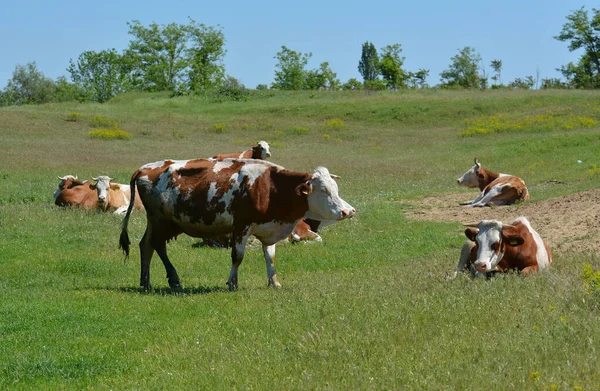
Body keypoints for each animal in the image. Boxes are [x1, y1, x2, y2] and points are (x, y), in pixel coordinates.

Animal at [119, 158, 356, 290]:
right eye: (324, 190)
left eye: (335, 188)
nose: (349, 211)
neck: (269, 186)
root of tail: (144, 168)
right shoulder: (241, 226)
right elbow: (237, 256)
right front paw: (232, 283)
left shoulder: (269, 227)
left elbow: (270, 257)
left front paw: (274, 282)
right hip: (161, 221)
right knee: (157, 245)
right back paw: (171, 279)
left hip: (158, 222)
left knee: (146, 245)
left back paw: (146, 282)